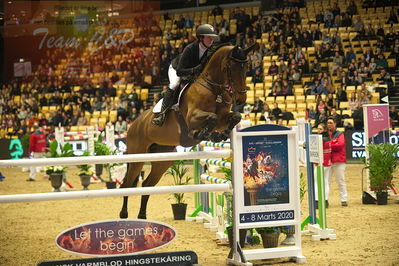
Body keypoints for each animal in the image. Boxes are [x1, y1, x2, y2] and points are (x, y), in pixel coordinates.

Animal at [119, 43, 258, 218]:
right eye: (232, 68)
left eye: (246, 67)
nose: (241, 100)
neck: (214, 89)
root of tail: (133, 124)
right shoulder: (193, 117)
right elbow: (212, 117)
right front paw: (202, 134)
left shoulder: (223, 117)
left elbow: (236, 116)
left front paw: (221, 134)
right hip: (137, 156)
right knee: (127, 184)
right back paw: (124, 214)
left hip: (163, 159)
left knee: (147, 184)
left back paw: (142, 216)